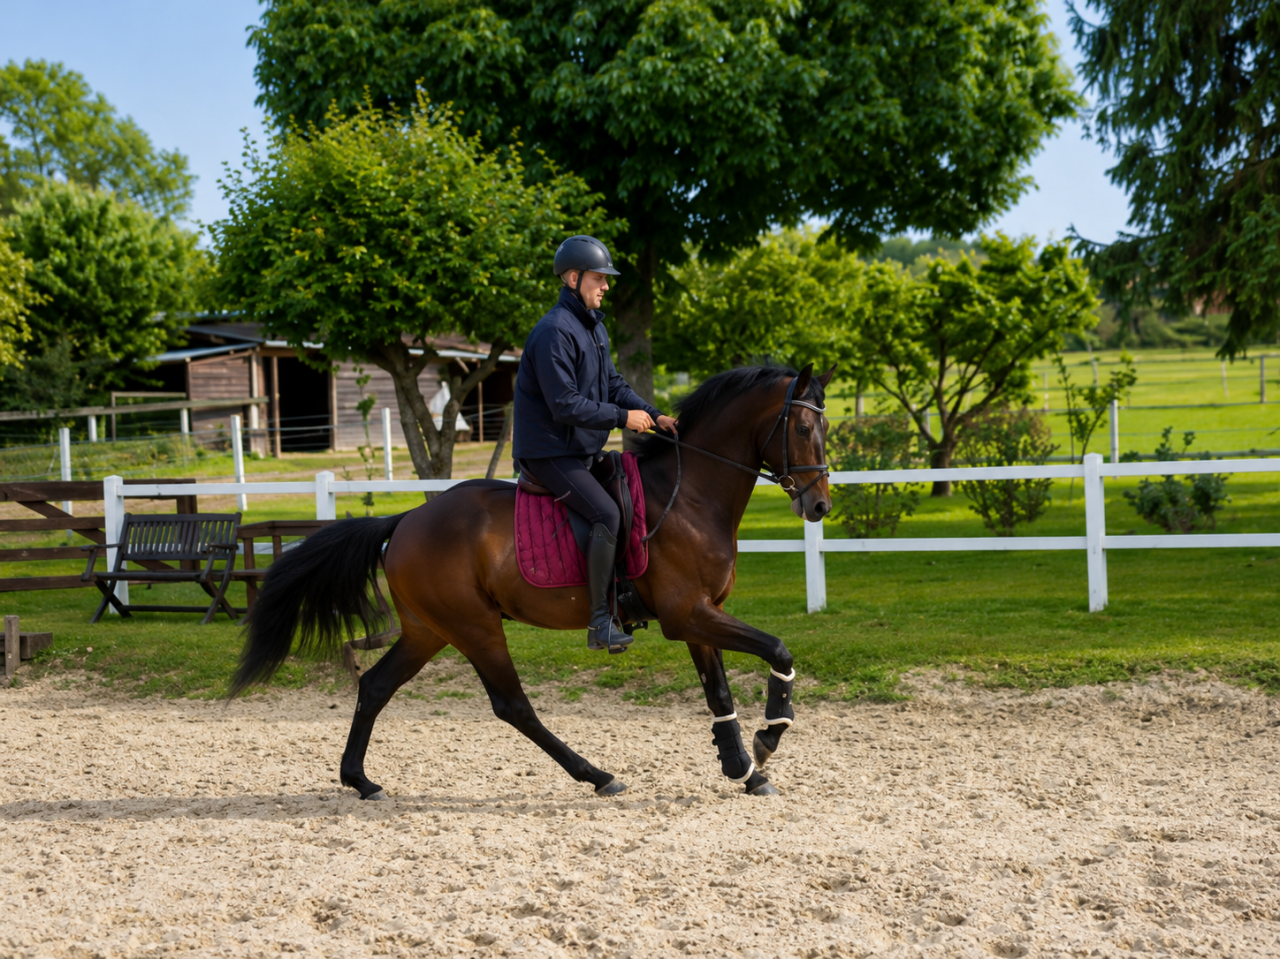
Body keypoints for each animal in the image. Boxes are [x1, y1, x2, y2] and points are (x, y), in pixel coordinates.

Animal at [229, 363, 834, 799]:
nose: (820, 506)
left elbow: (718, 692)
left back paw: (360, 780)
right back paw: (597, 775)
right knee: (513, 705)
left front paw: (744, 769)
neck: (688, 495)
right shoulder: (688, 614)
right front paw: (769, 736)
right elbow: (777, 650)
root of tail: (406, 521)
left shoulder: (700, 616)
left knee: (376, 686)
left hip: (430, 630)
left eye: (825, 429)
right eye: (804, 429)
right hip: (474, 627)